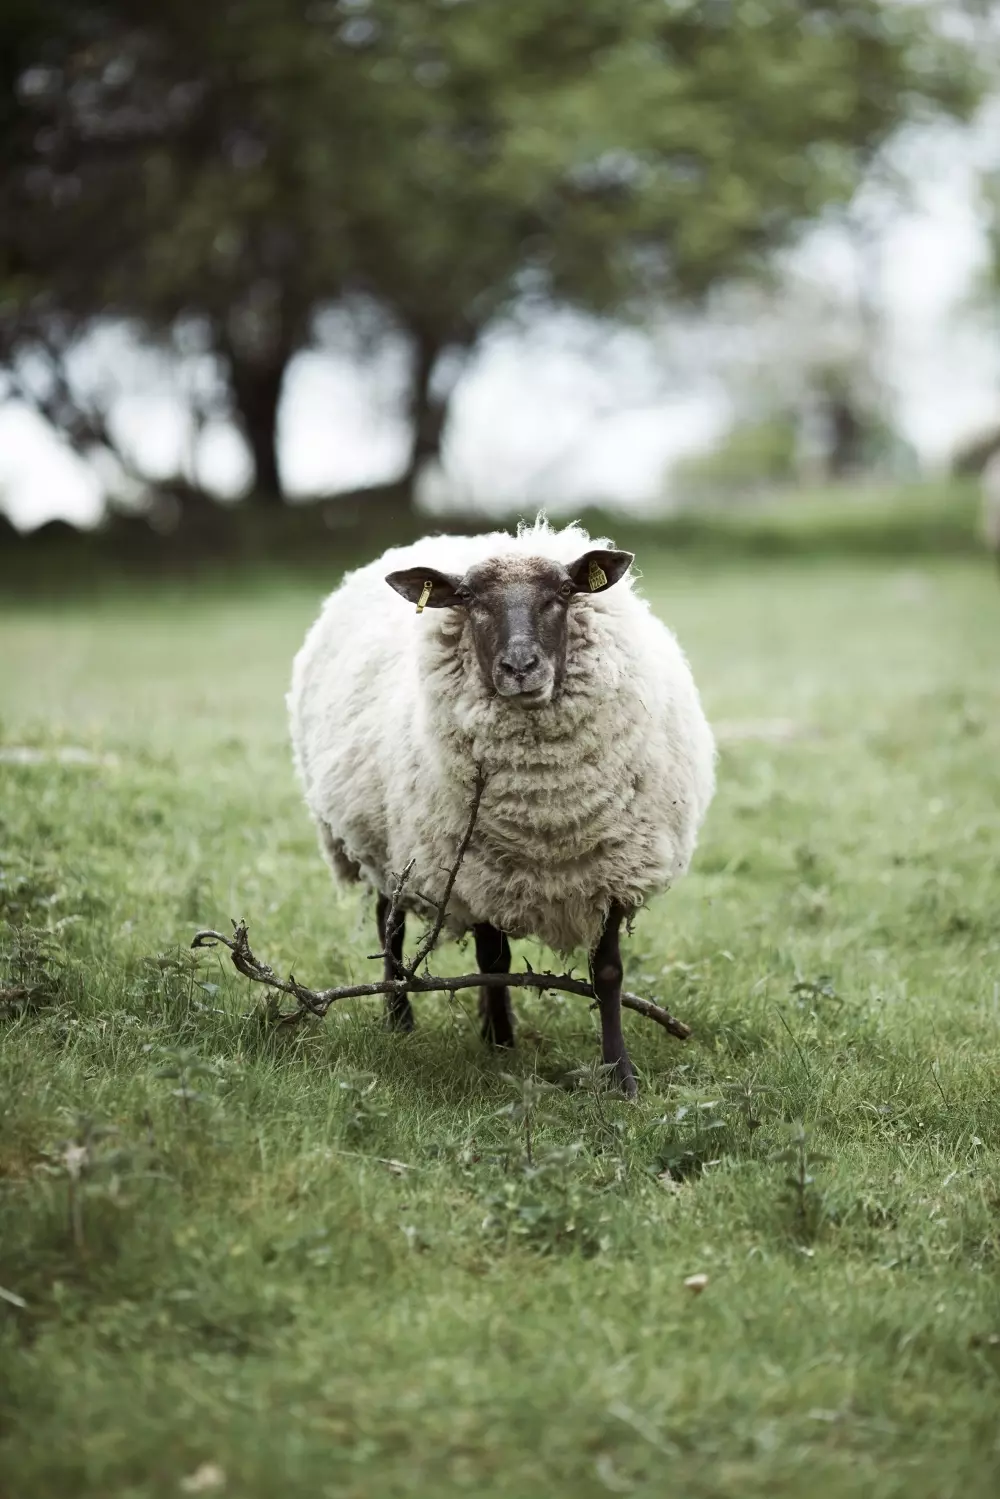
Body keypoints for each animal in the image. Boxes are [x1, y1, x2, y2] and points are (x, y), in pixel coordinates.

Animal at [284, 521, 716, 1097]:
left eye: (565, 592)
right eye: (468, 599)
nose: (520, 667)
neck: (546, 815)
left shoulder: (612, 869)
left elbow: (607, 974)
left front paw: (619, 1075)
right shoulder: (476, 870)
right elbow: (493, 959)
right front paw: (500, 1043)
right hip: (384, 843)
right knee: (388, 926)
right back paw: (399, 1019)